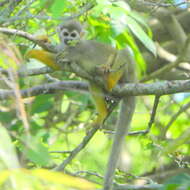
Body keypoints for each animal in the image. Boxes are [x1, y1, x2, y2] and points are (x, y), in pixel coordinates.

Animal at [25, 20, 137, 189]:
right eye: (65, 34)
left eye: (73, 35)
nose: (68, 40)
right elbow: (58, 64)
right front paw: (42, 41)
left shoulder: (76, 50)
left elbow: (62, 60)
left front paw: (35, 51)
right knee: (93, 82)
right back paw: (103, 108)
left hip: (127, 73)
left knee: (122, 52)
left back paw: (110, 79)